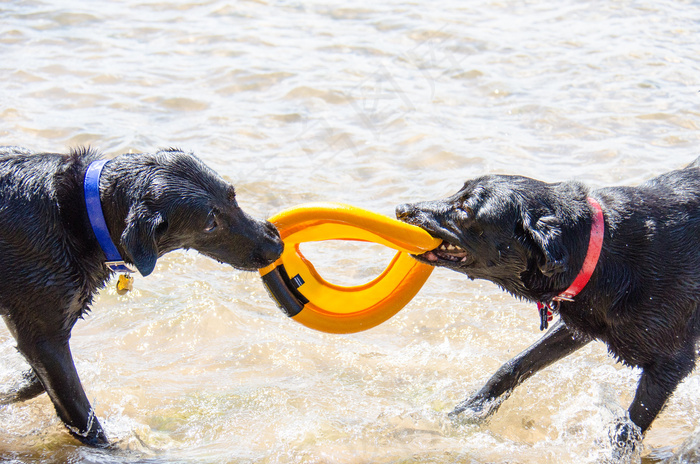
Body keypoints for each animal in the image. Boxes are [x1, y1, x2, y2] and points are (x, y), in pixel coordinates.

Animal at [0, 148, 284, 446]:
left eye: (232, 196)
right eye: (210, 224)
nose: (276, 245)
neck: (81, 215)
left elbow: (34, 381)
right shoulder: (44, 339)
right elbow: (81, 412)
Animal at [396, 158, 700, 444]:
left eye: (465, 209)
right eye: (458, 191)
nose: (401, 208)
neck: (602, 251)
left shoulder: (669, 365)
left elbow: (628, 429)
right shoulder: (581, 320)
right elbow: (515, 364)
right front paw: (470, 409)